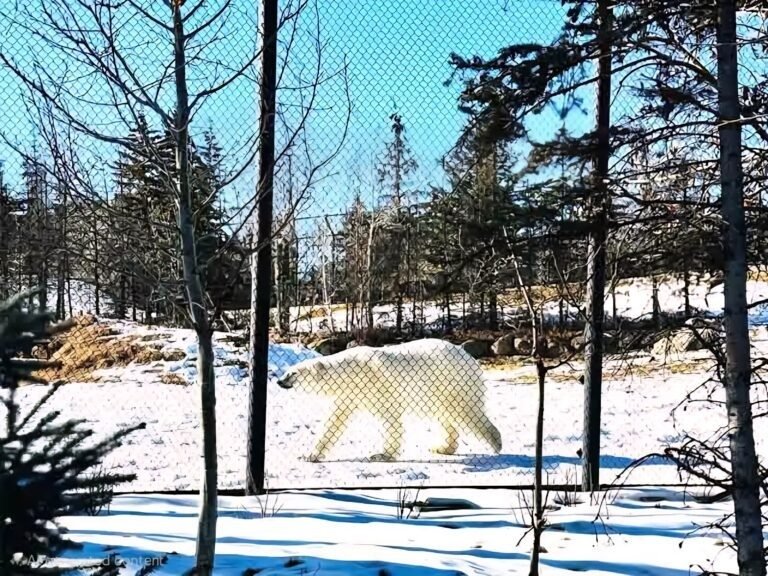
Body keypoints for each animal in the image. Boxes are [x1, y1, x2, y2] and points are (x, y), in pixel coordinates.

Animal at [276, 338, 502, 462]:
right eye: (287, 370)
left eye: (292, 373)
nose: (279, 381)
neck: (350, 372)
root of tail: (468, 356)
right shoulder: (349, 395)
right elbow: (334, 422)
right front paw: (308, 455)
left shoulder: (377, 386)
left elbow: (390, 418)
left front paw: (381, 455)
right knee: (445, 416)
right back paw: (441, 447)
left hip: (451, 381)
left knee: (466, 412)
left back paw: (495, 444)